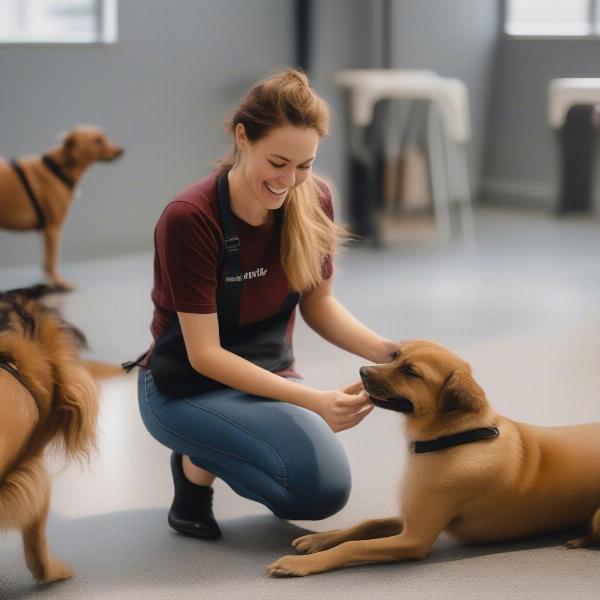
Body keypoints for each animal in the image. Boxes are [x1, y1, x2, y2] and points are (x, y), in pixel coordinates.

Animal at [0, 125, 123, 290]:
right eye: (97, 140)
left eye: (104, 137)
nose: (122, 150)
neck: (59, 167)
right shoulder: (53, 228)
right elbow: (52, 260)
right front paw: (60, 282)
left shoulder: (46, 232)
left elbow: (46, 262)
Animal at [268, 338, 600, 576]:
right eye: (395, 355)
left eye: (411, 372)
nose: (362, 372)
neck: (459, 437)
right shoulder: (409, 517)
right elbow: (366, 525)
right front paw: (319, 540)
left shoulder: (414, 538)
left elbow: (354, 546)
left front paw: (301, 564)